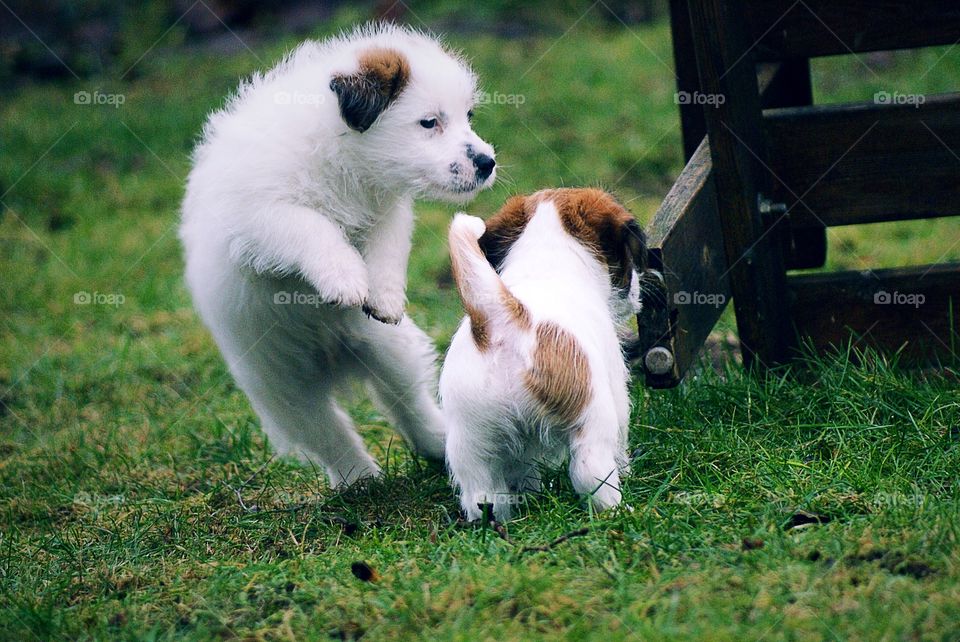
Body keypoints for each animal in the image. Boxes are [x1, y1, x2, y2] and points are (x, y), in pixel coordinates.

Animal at [180, 23, 496, 484]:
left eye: (468, 116)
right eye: (429, 122)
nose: (488, 163)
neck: (344, 159)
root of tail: (332, 360)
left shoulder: (387, 214)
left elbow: (386, 251)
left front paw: (382, 296)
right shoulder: (261, 217)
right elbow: (315, 227)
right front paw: (345, 278)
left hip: (389, 350)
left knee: (406, 402)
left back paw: (437, 445)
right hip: (283, 389)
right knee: (328, 433)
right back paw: (357, 480)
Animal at [440, 188, 644, 516]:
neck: (547, 259)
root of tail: (506, 319)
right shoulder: (615, 389)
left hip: (471, 443)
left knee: (483, 496)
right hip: (592, 422)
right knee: (591, 475)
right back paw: (616, 513)